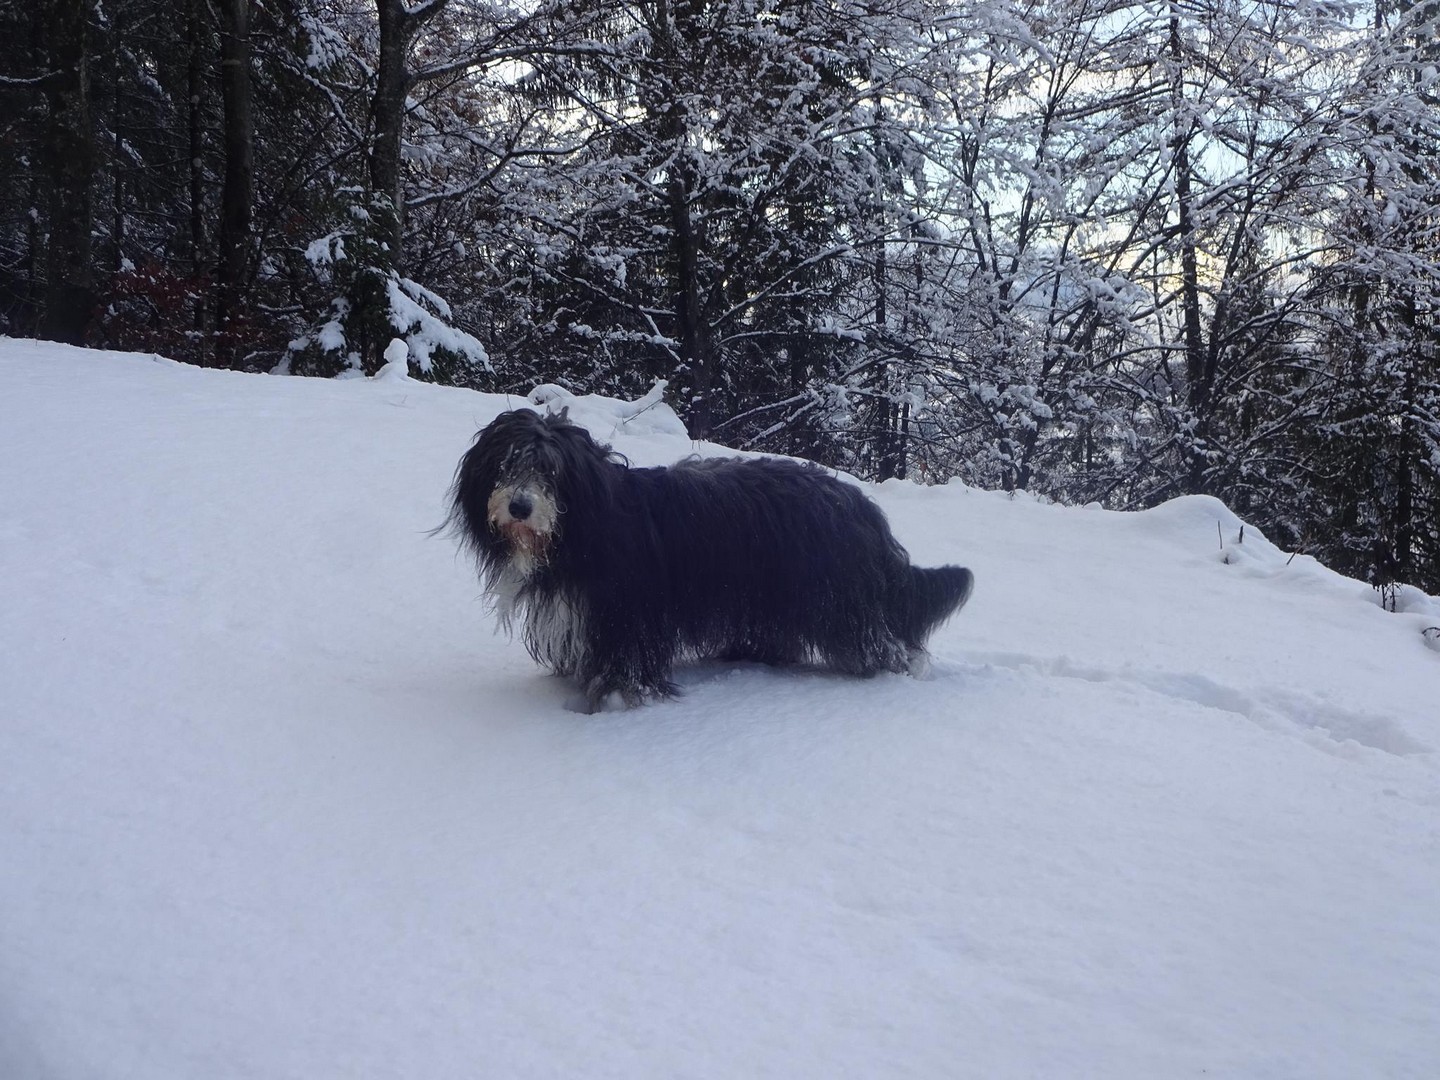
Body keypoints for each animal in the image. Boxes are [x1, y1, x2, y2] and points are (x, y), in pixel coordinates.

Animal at [447, 407, 974, 712]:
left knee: (881, 639)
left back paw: (900, 672)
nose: (519, 507)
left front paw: (616, 699)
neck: (585, 524)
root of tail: (859, 506)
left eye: (551, 471)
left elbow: (625, 665)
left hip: (836, 600)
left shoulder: (625, 615)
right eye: (504, 464)